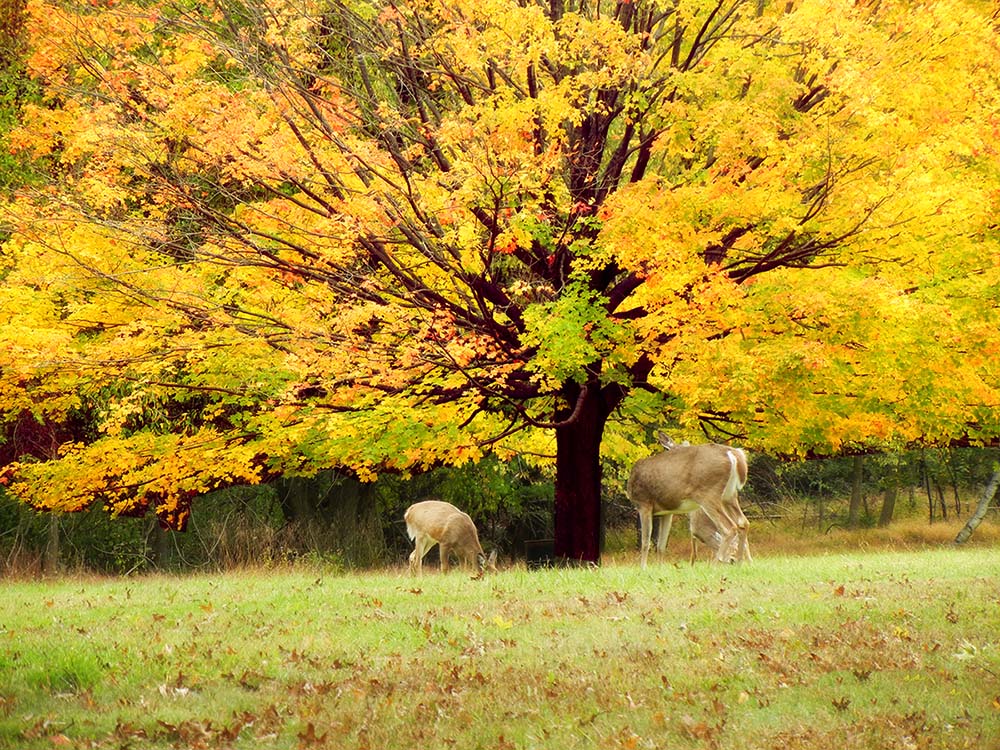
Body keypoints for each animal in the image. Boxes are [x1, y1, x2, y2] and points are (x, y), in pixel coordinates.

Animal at [624, 432, 752, 568]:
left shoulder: (644, 503)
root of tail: (734, 454)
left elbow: (645, 542)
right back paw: (739, 563)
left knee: (729, 528)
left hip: (708, 493)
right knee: (743, 522)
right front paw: (659, 568)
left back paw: (715, 564)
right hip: (729, 495)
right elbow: (661, 545)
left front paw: (643, 568)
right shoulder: (667, 512)